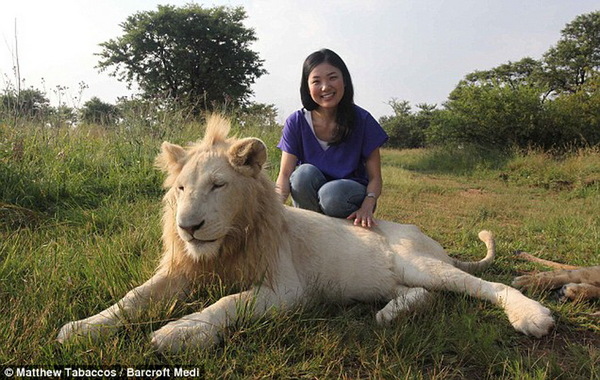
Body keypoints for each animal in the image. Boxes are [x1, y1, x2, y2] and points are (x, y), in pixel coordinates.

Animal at [58, 114, 556, 352]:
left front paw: (179, 332)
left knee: (483, 286)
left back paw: (532, 316)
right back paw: (389, 315)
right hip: (392, 279)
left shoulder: (288, 290)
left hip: (418, 260)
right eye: (181, 188)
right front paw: (81, 328)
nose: (188, 227)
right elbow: (134, 297)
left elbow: (227, 303)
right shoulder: (183, 271)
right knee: (426, 295)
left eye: (218, 185)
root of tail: (434, 242)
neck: (229, 241)